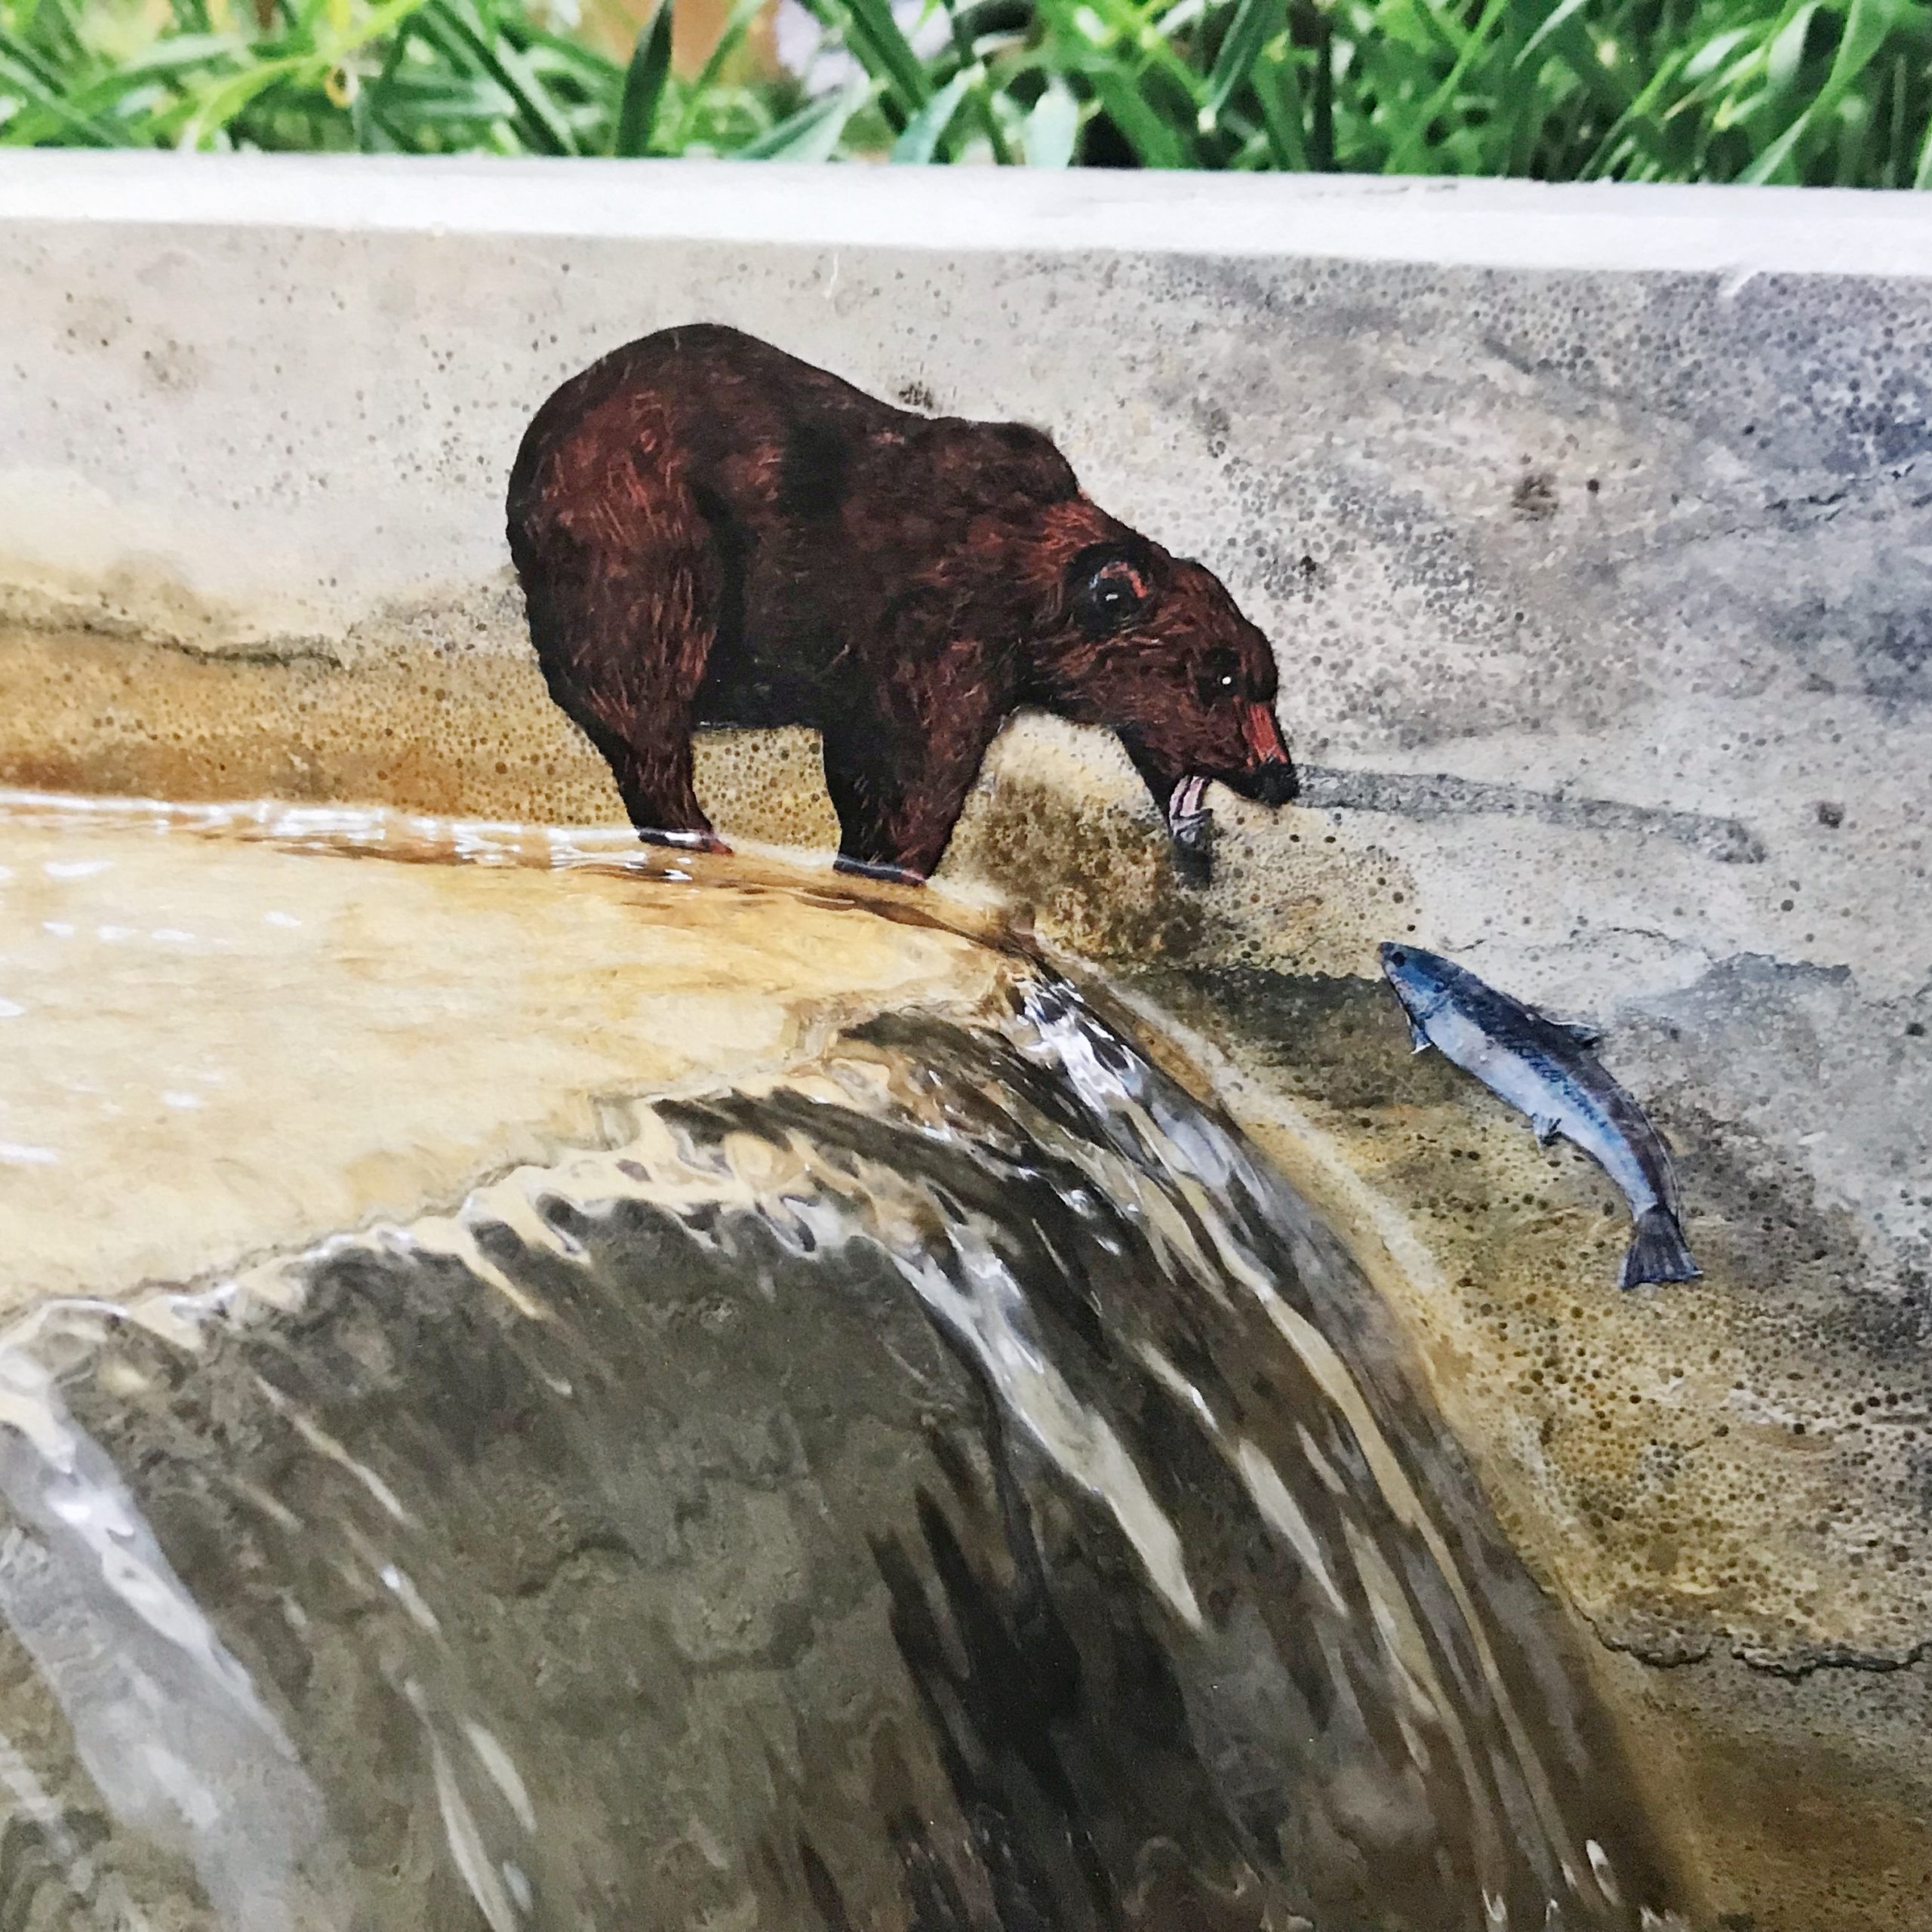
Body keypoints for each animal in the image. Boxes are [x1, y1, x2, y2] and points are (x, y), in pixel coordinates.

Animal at [506, 323, 1298, 886]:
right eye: (1222, 677)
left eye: (1266, 683)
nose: (1280, 775)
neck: (1030, 608)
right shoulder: (933, 627)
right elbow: (910, 771)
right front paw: (891, 864)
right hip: (648, 537)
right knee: (646, 696)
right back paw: (700, 834)